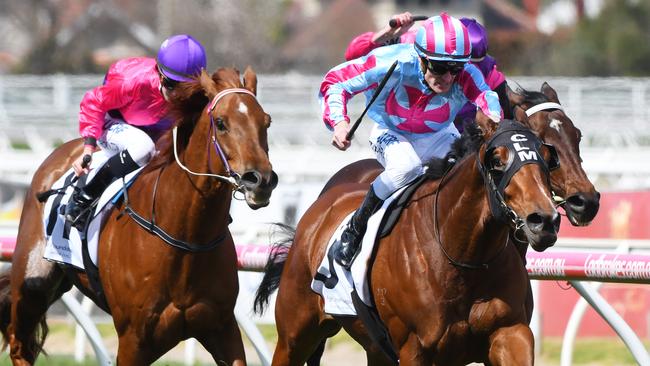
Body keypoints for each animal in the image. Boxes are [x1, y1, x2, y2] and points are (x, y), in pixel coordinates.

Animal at [0, 67, 276, 364]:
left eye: (266, 122)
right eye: (221, 123)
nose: (260, 180)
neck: (186, 239)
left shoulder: (222, 328)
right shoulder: (134, 340)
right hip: (33, 283)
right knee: (19, 343)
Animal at [256, 113, 560, 364]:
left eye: (547, 158)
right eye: (497, 161)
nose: (543, 220)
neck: (462, 258)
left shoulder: (511, 333)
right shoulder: (415, 348)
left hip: (374, 348)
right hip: (294, 335)